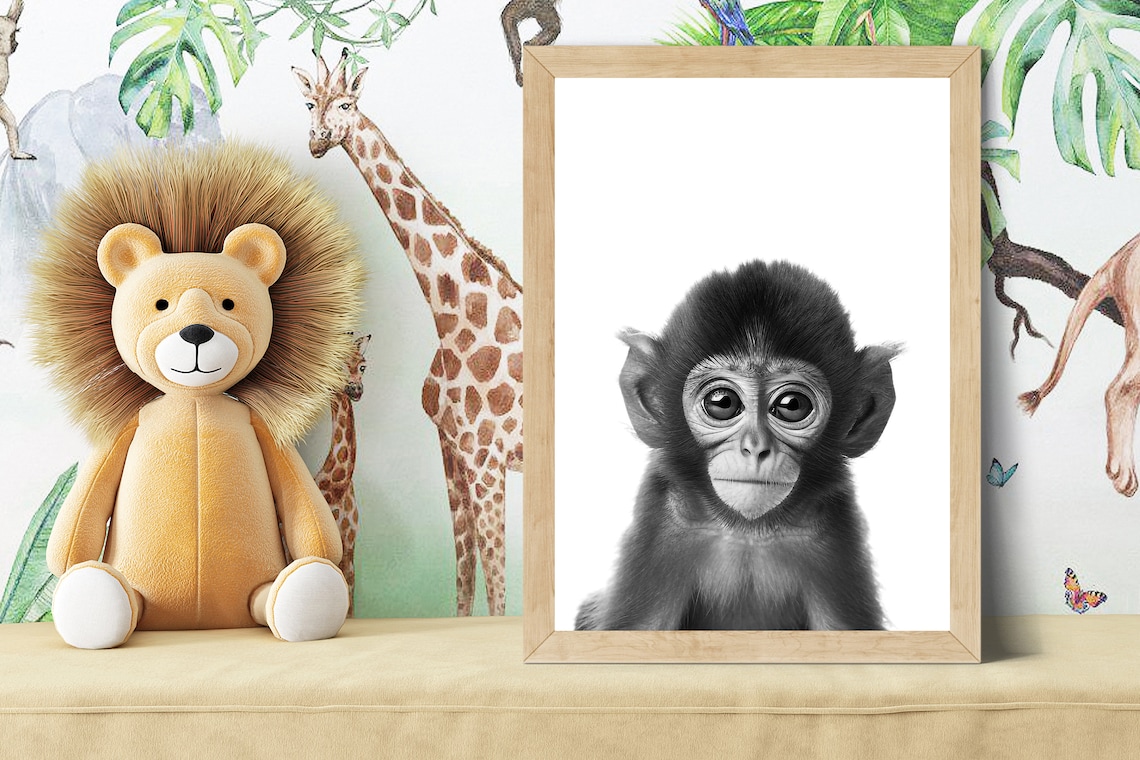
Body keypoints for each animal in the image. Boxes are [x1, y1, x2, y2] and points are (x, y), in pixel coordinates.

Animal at [575, 260, 899, 631]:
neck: (749, 532)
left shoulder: (833, 530)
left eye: (792, 405)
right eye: (722, 402)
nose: (755, 449)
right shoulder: (664, 525)